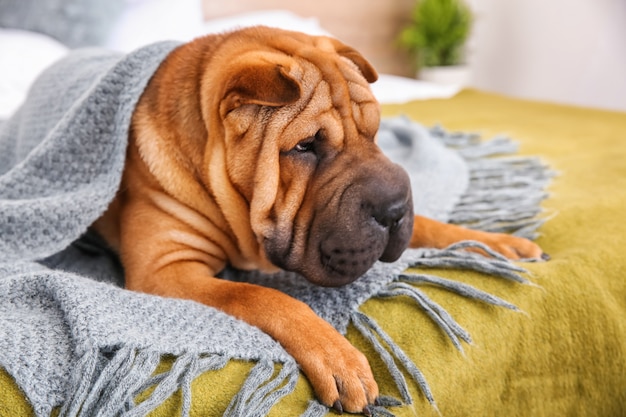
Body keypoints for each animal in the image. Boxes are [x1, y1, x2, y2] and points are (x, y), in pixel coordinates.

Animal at [90, 26, 544, 412]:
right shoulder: (165, 270)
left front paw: (498, 243)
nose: (395, 208)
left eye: (375, 131)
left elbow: (432, 225)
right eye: (306, 146)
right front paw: (339, 359)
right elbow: (262, 296)